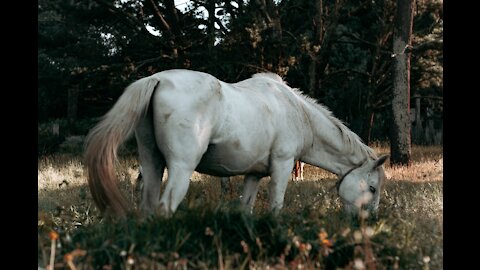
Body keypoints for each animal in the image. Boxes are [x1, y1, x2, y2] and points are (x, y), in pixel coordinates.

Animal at [84, 69, 388, 217]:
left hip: (151, 164)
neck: (297, 113)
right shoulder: (282, 167)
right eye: (372, 187)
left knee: (148, 208)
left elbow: (247, 209)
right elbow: (275, 208)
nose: (370, 221)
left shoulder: (254, 175)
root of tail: (156, 79)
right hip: (181, 168)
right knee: (164, 208)